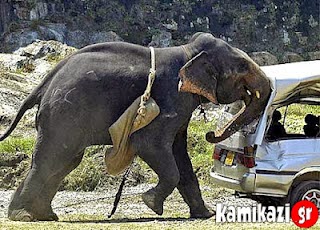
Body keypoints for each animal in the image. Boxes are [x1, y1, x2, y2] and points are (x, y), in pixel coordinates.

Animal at [0, 32, 272, 221]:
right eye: (243, 68)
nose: (210, 133)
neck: (188, 51)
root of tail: (44, 84)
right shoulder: (171, 96)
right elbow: (150, 144)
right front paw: (151, 203)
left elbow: (179, 153)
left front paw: (205, 215)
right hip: (63, 113)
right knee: (52, 159)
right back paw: (24, 216)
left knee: (64, 162)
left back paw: (44, 215)